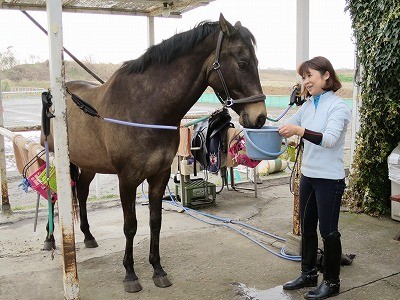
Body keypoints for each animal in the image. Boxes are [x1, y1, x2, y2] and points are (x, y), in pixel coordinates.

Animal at [42, 14, 268, 292]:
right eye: (242, 62)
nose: (259, 117)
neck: (146, 108)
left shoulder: (159, 176)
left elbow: (155, 222)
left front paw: (158, 269)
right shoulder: (127, 179)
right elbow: (130, 226)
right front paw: (130, 274)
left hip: (89, 165)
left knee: (82, 193)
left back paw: (88, 235)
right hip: (53, 160)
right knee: (51, 198)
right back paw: (50, 239)